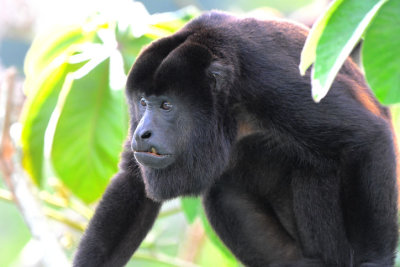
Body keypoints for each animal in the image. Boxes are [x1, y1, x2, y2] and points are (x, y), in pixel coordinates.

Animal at [73, 11, 398, 266]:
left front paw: (375, 262)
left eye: (166, 105)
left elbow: (365, 137)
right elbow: (133, 179)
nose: (142, 132)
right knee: (223, 188)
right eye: (142, 102)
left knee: (316, 167)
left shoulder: (271, 81)